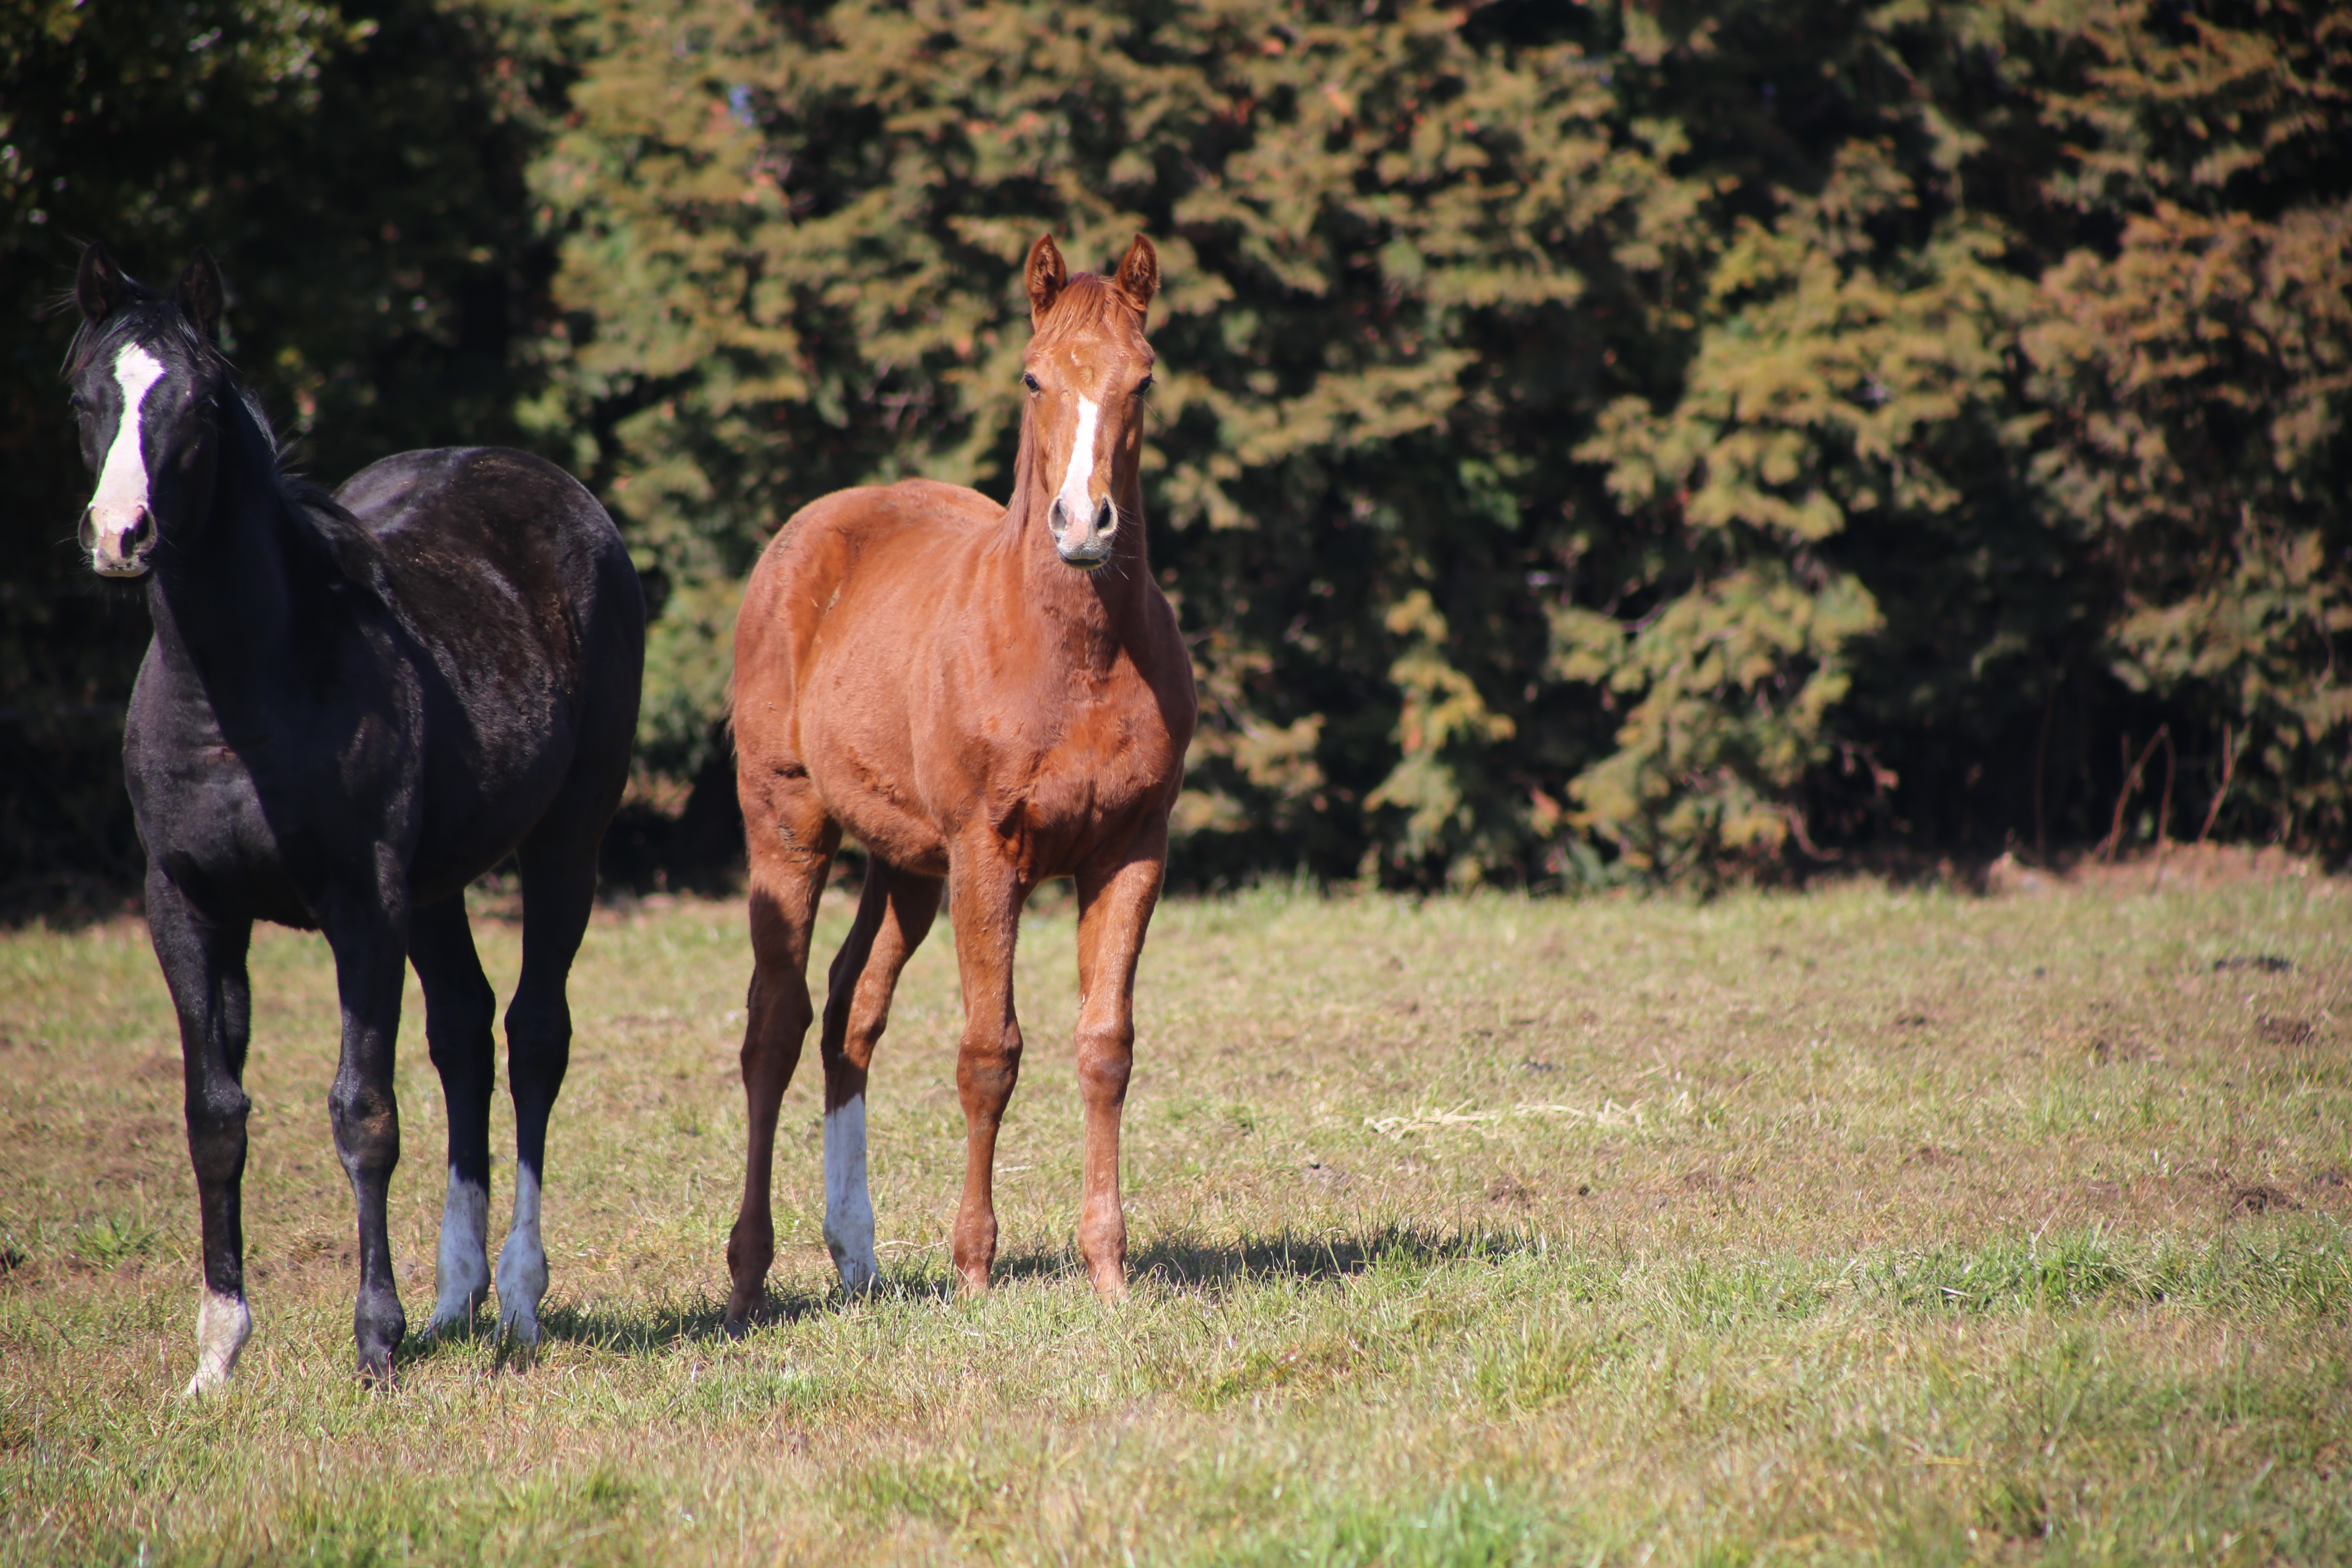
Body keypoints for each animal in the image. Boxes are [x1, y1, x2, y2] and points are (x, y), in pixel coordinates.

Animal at [69, 245, 649, 1382]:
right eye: (85, 397)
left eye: (196, 402)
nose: (121, 535)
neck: (244, 692)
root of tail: (568, 497)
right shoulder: (187, 904)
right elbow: (215, 1115)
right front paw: (218, 1350)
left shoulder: (362, 903)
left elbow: (363, 1109)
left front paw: (375, 1337)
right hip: (436, 888)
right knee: (464, 1030)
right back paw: (457, 1298)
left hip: (565, 843)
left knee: (535, 1034)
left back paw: (517, 1299)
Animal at [719, 232, 1195, 1316]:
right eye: (1031, 376)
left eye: (1144, 378)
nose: (1084, 525)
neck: (1072, 658)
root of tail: (811, 529)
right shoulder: (988, 852)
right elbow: (988, 1053)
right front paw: (974, 1266)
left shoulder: (1131, 851)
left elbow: (1105, 1047)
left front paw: (1108, 1269)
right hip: (789, 824)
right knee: (776, 1024)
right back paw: (750, 1272)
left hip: (905, 866)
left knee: (850, 1014)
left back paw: (856, 1254)